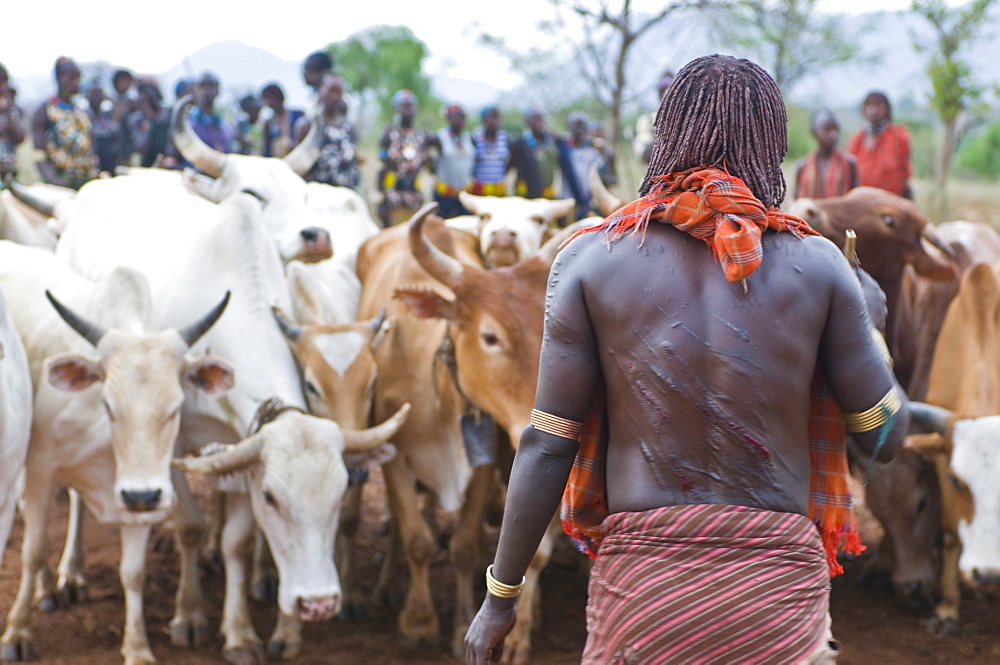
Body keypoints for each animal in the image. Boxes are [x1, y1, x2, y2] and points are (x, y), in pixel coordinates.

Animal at [0, 240, 232, 664]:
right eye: (108, 404)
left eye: (176, 407)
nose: (142, 494)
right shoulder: (40, 470)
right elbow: (33, 550)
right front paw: (18, 632)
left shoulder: (143, 496)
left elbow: (133, 573)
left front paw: (137, 647)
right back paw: (49, 586)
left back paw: (72, 574)